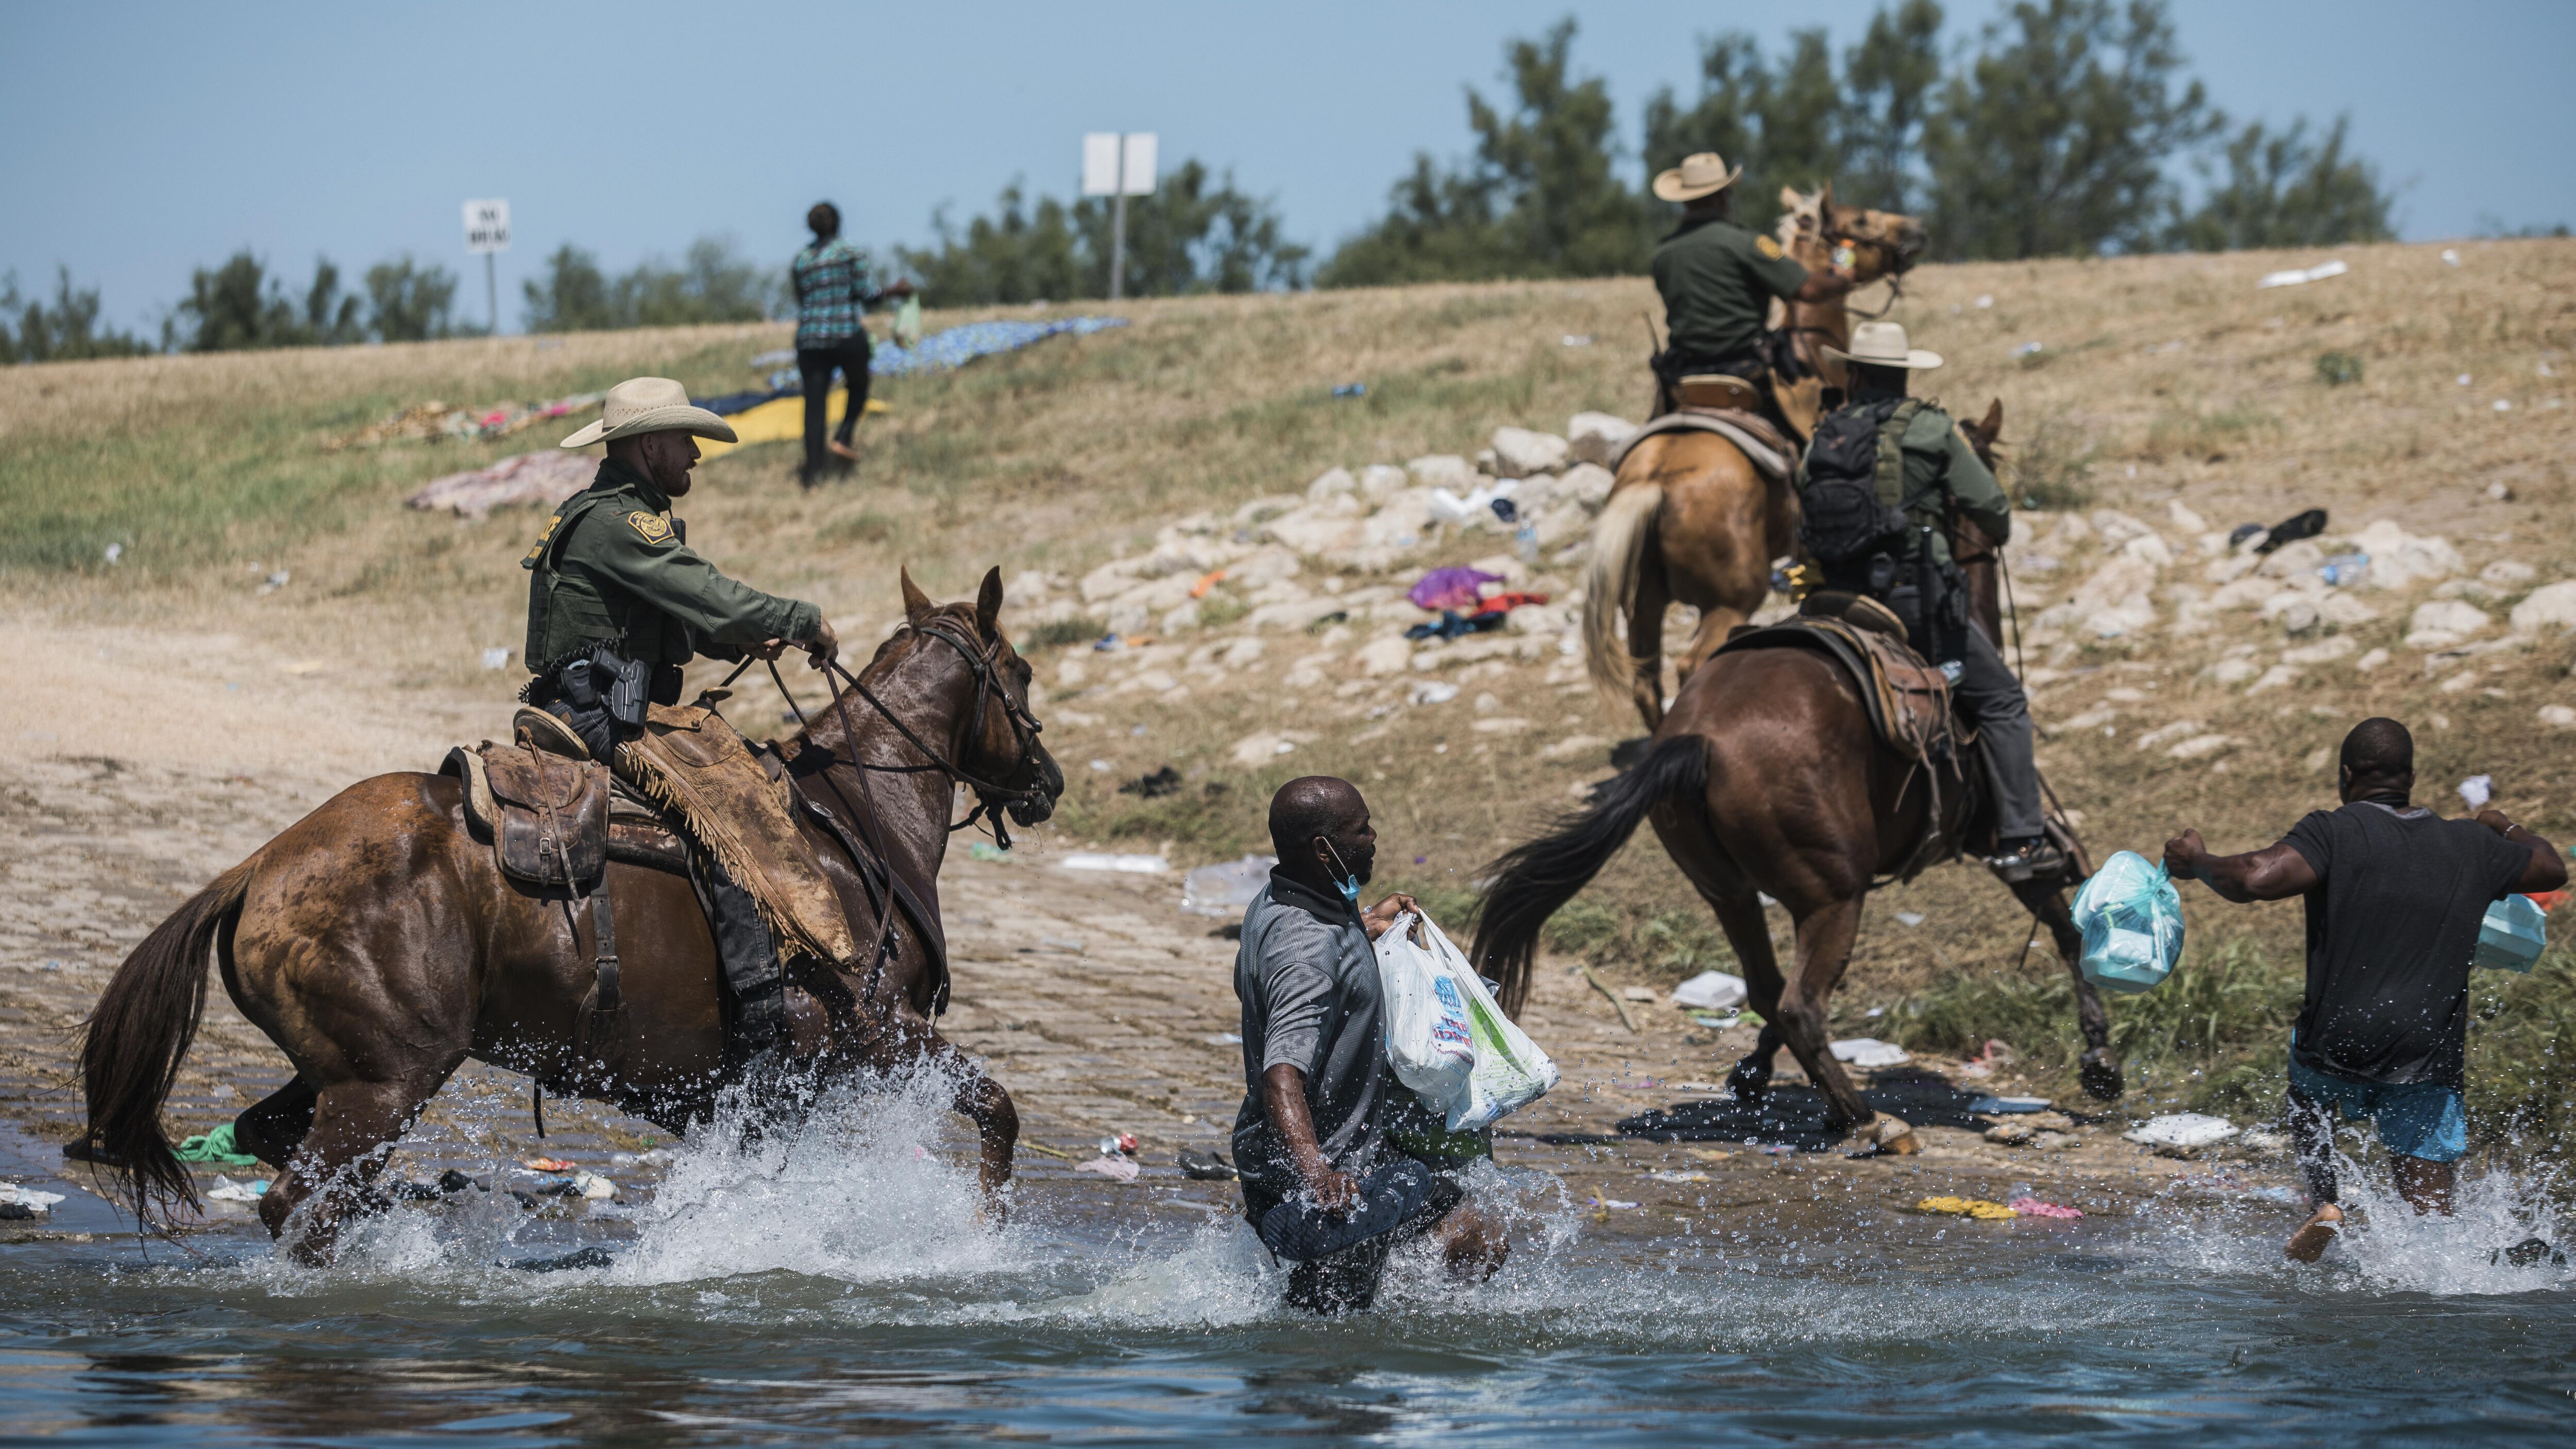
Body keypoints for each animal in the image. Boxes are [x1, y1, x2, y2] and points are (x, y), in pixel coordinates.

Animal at [1587, 186, 1937, 730]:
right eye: (1860, 219)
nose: (1916, 230)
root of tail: (1655, 482)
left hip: (1641, 603)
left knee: (1645, 681)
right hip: (1729, 600)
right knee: (1690, 663)